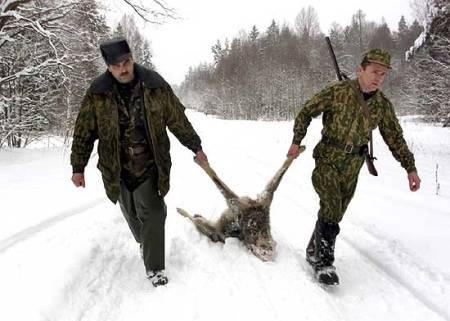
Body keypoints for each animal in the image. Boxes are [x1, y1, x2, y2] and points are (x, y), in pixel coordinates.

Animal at [177, 145, 306, 260]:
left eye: (264, 252)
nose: (267, 254)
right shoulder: (266, 197)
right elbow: (280, 174)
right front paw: (297, 151)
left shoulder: (234, 202)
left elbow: (216, 179)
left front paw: (201, 161)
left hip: (214, 228)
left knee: (198, 221)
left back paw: (184, 212)